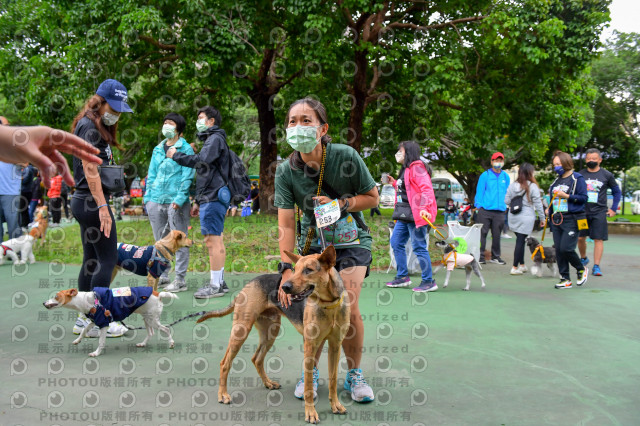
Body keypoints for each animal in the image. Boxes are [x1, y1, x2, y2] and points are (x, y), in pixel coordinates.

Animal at [43, 286, 178, 356]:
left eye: (56, 296)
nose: (44, 303)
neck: (87, 300)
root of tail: (158, 294)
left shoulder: (103, 324)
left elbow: (101, 341)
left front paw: (96, 353)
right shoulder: (94, 320)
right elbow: (84, 331)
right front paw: (77, 340)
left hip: (152, 320)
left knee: (166, 329)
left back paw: (171, 343)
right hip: (147, 319)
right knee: (151, 333)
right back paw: (143, 344)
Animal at [199, 245, 350, 424]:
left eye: (308, 270)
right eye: (295, 269)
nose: (284, 287)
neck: (328, 304)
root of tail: (248, 284)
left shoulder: (335, 346)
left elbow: (333, 380)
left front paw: (335, 405)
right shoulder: (310, 346)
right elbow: (308, 385)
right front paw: (310, 413)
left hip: (270, 333)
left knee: (256, 359)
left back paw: (268, 383)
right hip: (241, 331)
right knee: (225, 363)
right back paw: (223, 394)